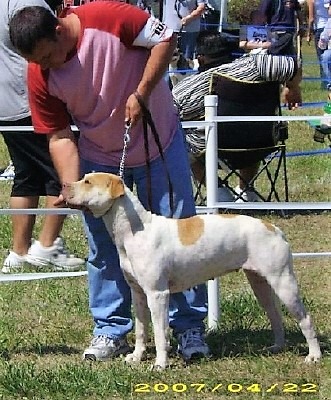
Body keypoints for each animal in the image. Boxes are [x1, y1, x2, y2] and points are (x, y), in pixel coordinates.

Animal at [62, 172, 322, 368]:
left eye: (88, 182)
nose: (64, 185)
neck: (135, 230)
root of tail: (273, 227)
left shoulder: (157, 294)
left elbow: (160, 332)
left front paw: (160, 364)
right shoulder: (138, 293)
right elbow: (141, 329)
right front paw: (135, 357)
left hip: (283, 282)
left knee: (305, 319)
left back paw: (314, 356)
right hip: (260, 284)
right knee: (275, 315)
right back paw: (277, 346)